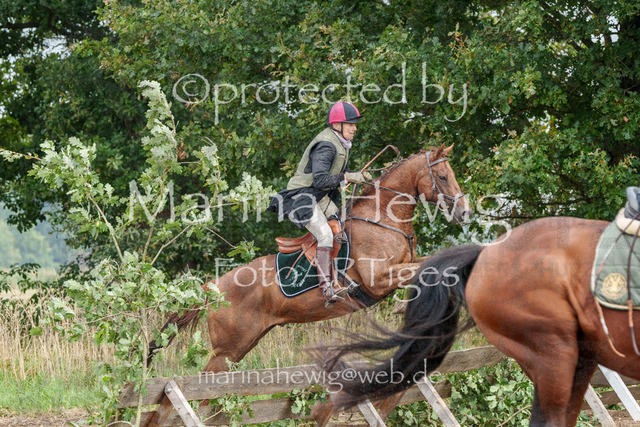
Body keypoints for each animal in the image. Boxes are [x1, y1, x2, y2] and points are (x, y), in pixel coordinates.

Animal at [148, 144, 471, 373]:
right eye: (443, 177)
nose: (465, 213)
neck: (382, 217)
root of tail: (211, 289)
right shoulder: (379, 279)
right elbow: (425, 270)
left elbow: (432, 265)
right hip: (227, 351)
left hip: (243, 346)